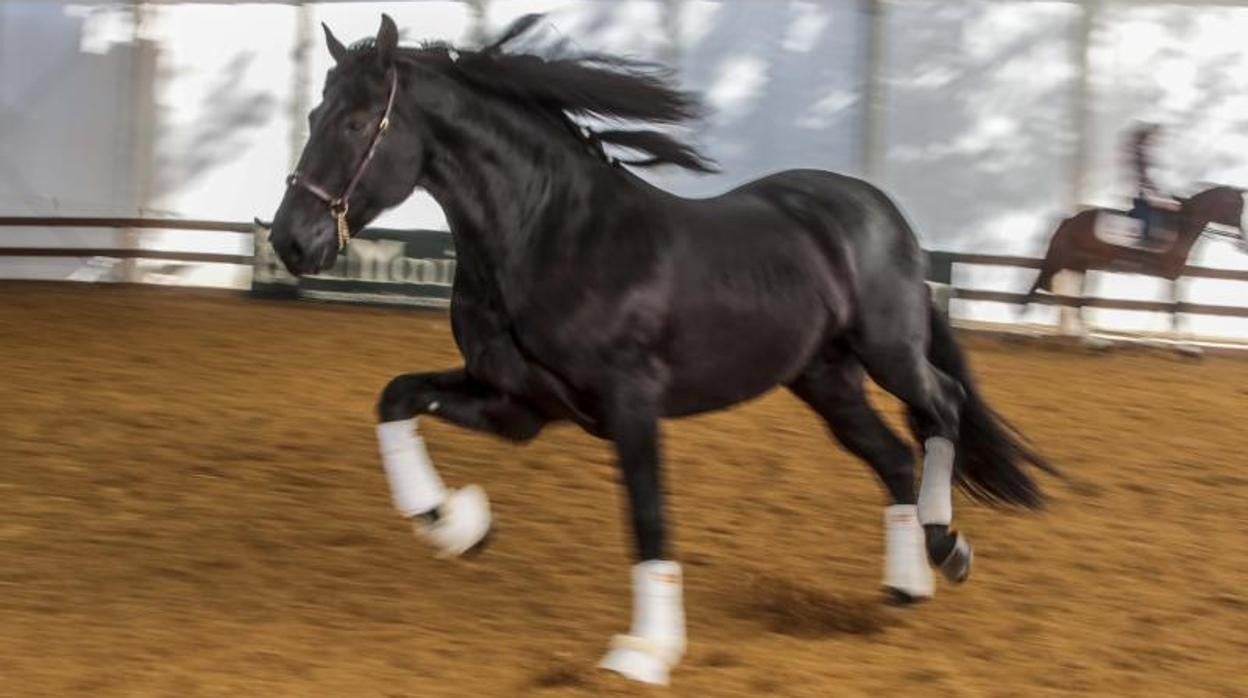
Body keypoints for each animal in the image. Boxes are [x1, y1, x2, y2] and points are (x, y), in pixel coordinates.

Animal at [264, 14, 1056, 686]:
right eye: (311, 117)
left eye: (357, 122)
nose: (290, 241)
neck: (551, 234)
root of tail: (882, 211)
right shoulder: (517, 403)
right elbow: (395, 396)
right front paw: (455, 524)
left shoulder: (629, 405)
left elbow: (647, 515)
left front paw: (643, 652)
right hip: (823, 380)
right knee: (892, 456)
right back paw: (907, 582)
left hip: (888, 350)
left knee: (942, 407)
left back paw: (946, 545)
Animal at [1022, 185, 1247, 334]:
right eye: (1235, 206)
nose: (1242, 241)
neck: (1182, 224)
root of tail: (1070, 220)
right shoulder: (1172, 272)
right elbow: (1176, 307)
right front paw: (1185, 344)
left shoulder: (1169, 274)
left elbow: (1163, 304)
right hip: (1071, 260)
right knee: (1060, 289)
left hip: (1079, 264)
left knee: (1066, 291)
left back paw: (1080, 332)